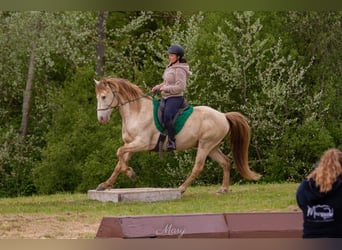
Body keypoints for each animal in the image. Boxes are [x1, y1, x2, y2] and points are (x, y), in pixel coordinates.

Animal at [93, 77, 260, 193]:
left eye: (104, 97)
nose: (101, 119)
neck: (137, 111)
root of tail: (224, 116)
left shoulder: (141, 143)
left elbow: (119, 152)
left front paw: (131, 173)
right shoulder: (130, 145)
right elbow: (119, 163)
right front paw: (105, 184)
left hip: (205, 145)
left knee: (198, 167)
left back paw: (181, 188)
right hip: (212, 147)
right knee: (225, 162)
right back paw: (223, 189)